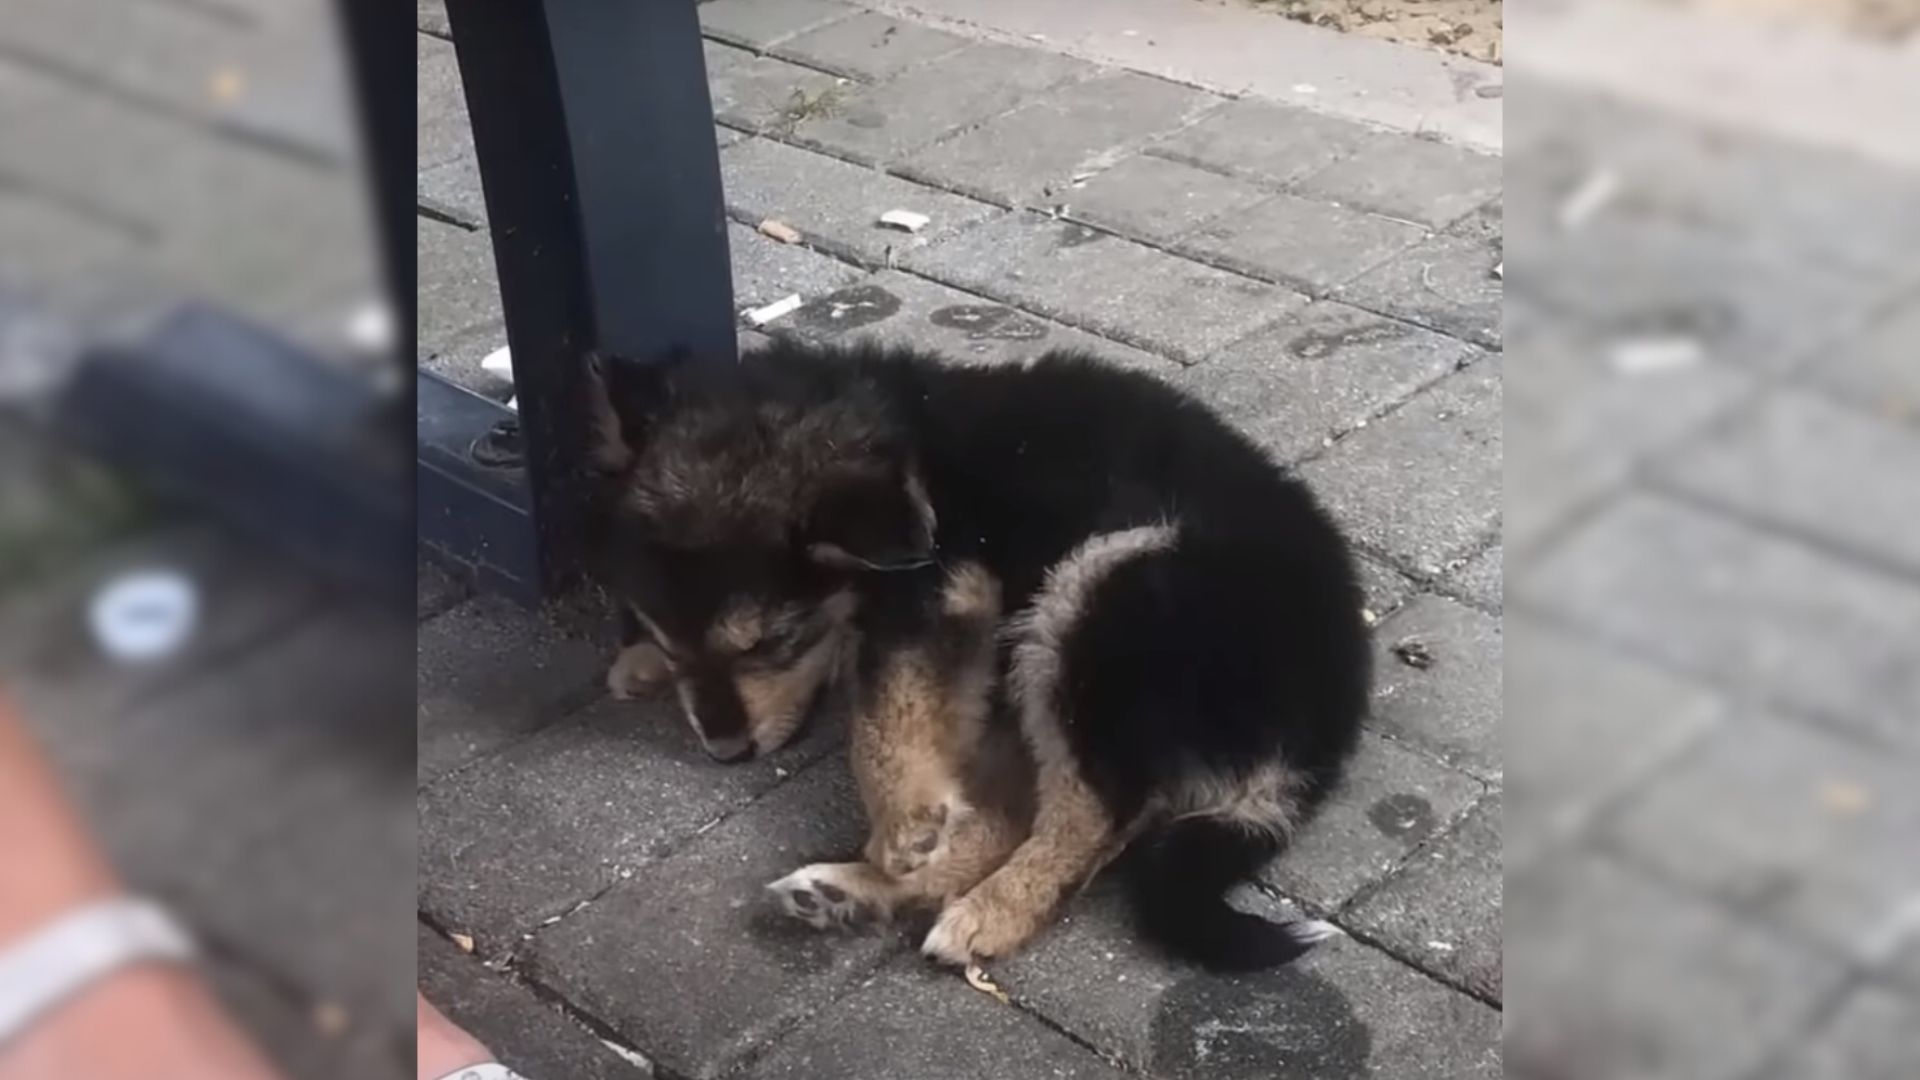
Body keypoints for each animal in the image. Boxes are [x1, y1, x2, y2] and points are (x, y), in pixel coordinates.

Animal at [583, 338, 1367, 968]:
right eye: (666, 637)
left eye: (774, 641)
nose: (725, 753)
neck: (911, 446)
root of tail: (1326, 723)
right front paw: (640, 664)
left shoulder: (949, 587)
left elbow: (882, 708)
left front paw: (904, 820)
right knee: (1014, 816)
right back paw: (849, 893)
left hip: (1100, 590)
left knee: (1091, 817)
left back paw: (990, 911)